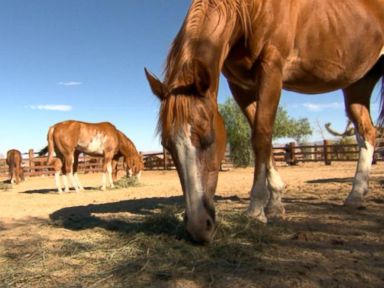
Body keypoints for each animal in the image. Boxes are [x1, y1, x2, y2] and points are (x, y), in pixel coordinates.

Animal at [145, 0, 384, 242]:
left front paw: (256, 210)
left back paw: (355, 195)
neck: (251, 11)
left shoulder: (271, 69)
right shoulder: (241, 86)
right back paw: (356, 197)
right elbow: (261, 135)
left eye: (208, 139)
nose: (198, 227)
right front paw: (275, 204)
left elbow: (261, 135)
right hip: (358, 83)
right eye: (167, 145)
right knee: (367, 132)